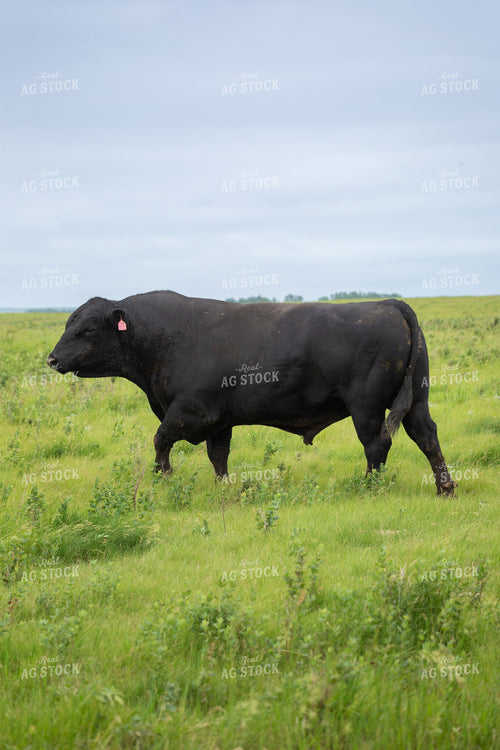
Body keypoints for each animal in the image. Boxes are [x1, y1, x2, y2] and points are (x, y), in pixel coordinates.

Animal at [47, 291, 457, 495]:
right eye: (69, 323)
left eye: (87, 329)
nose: (52, 358)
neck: (166, 336)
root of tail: (388, 303)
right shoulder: (219, 420)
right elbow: (218, 457)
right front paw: (224, 490)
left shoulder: (192, 410)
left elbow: (161, 439)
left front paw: (165, 478)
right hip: (417, 400)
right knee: (427, 437)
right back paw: (445, 487)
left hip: (366, 407)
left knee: (377, 445)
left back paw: (369, 487)